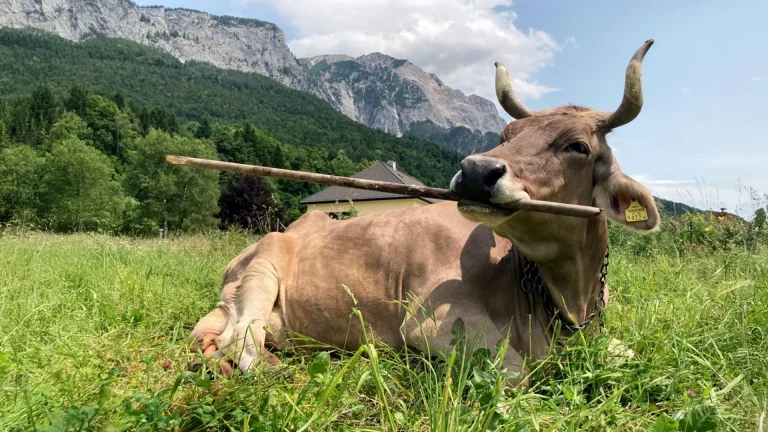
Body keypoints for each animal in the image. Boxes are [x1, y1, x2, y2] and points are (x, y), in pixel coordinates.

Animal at [188, 40, 661, 387]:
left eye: (577, 146)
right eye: (506, 135)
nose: (476, 171)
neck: (567, 301)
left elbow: (633, 353)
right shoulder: (433, 323)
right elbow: (516, 374)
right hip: (261, 271)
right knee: (241, 344)